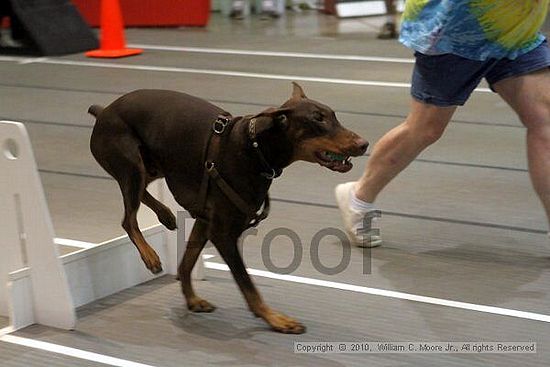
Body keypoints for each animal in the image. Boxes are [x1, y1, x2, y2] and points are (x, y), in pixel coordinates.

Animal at [88, 82, 368, 334]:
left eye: (334, 115)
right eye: (318, 119)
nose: (364, 143)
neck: (255, 149)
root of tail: (103, 111)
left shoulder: (205, 222)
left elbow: (186, 264)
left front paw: (192, 299)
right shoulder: (223, 234)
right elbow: (247, 284)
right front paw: (276, 319)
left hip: (152, 167)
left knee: (141, 197)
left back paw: (166, 215)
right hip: (131, 165)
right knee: (128, 218)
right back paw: (150, 255)